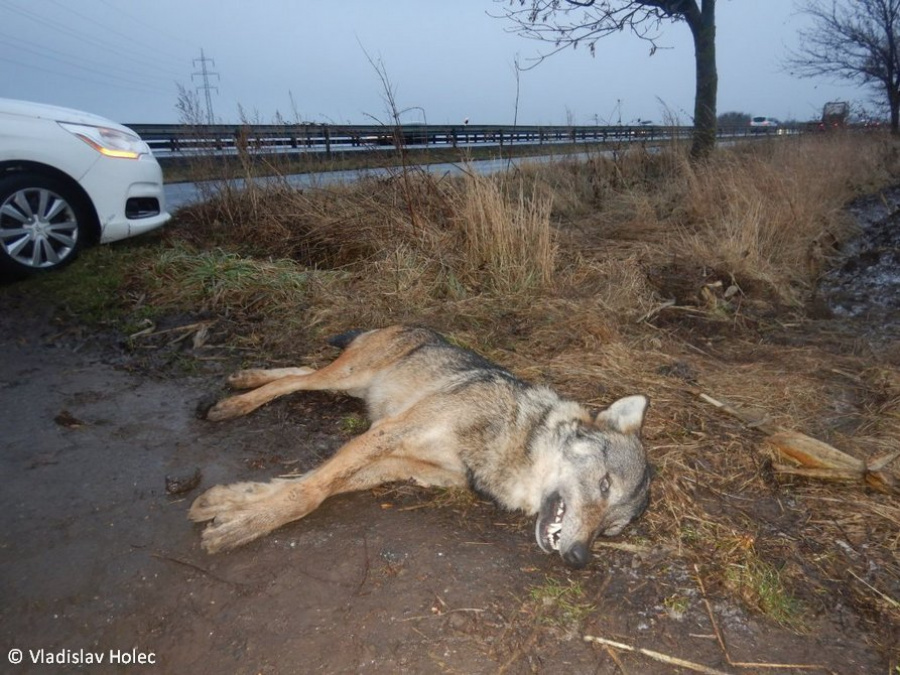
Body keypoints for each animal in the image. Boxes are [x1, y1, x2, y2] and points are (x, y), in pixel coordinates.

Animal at [192, 324, 652, 568]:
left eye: (612, 529)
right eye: (605, 485)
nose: (579, 557)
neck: (510, 441)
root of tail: (410, 325)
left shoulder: (397, 463)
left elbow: (306, 483)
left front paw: (229, 504)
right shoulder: (387, 433)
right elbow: (309, 493)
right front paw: (241, 528)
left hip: (350, 386)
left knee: (299, 370)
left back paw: (244, 377)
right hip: (347, 378)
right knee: (294, 380)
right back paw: (233, 402)